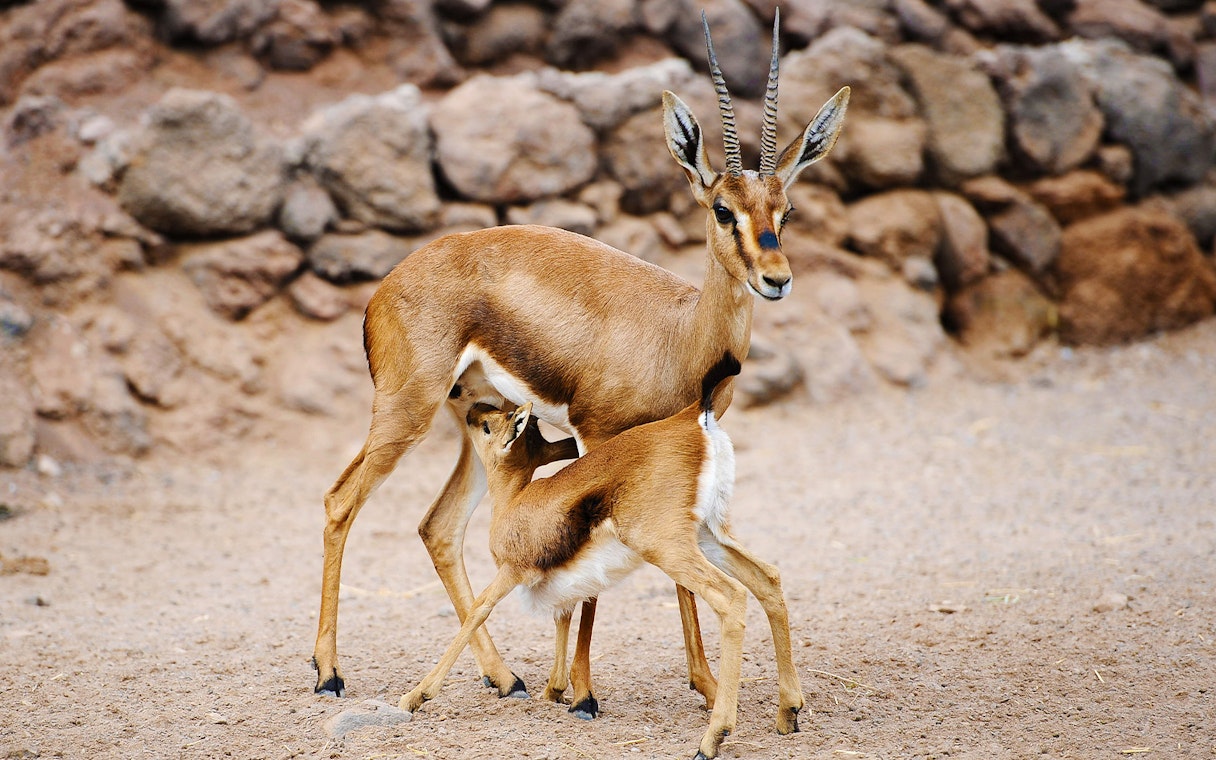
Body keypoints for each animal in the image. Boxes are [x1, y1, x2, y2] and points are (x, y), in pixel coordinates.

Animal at [313, 9, 849, 715]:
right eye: (722, 209)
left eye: (785, 211)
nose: (776, 278)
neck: (678, 335)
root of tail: (386, 286)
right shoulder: (597, 435)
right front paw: (584, 692)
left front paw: (703, 684)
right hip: (406, 410)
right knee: (341, 500)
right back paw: (329, 673)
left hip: (478, 420)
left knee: (439, 527)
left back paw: (504, 677)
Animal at [401, 353, 804, 760]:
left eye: (487, 426)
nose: (470, 411)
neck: (515, 502)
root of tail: (695, 416)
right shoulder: (558, 580)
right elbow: (563, 615)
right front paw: (555, 693)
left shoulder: (512, 571)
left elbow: (478, 611)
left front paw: (417, 696)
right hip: (709, 537)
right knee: (768, 578)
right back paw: (788, 712)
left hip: (669, 548)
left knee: (731, 597)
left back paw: (713, 738)